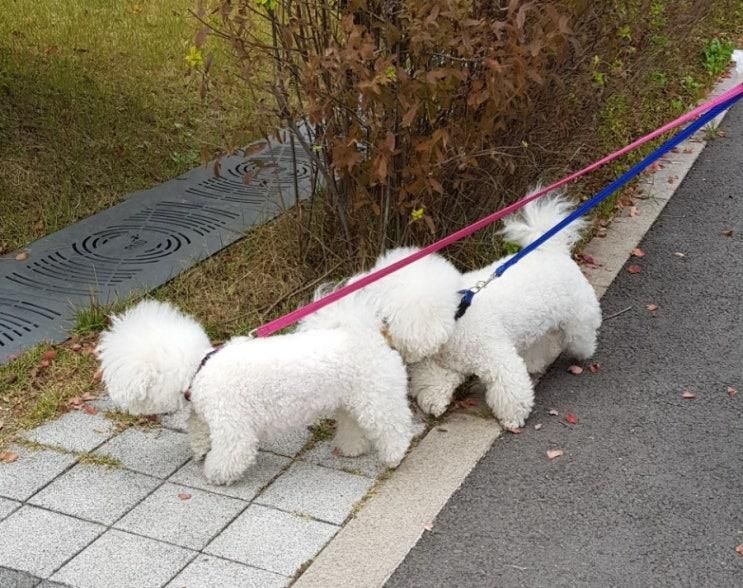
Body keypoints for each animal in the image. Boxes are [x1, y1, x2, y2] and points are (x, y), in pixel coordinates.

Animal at [94, 296, 412, 484]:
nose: (110, 392)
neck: (199, 370)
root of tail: (370, 335)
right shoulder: (206, 413)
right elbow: (199, 430)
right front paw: (200, 450)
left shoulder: (232, 424)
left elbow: (233, 451)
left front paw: (215, 473)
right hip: (349, 399)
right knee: (353, 423)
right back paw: (351, 448)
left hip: (377, 396)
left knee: (393, 426)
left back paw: (395, 457)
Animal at [406, 193, 604, 428]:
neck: (457, 316)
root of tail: (552, 251)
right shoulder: (448, 364)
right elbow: (434, 378)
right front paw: (433, 402)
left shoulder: (495, 355)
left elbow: (510, 386)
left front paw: (513, 418)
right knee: (540, 343)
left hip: (577, 317)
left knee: (580, 337)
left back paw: (584, 351)